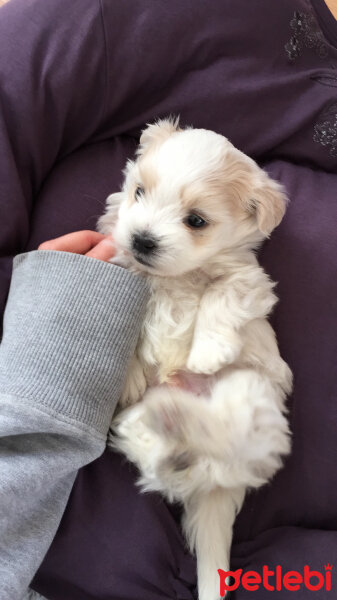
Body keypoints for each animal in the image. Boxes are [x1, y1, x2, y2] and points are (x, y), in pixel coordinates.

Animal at [98, 119, 292, 600]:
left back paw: (183, 416)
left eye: (196, 221)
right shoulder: (121, 268)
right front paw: (129, 373)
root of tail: (215, 486)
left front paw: (205, 353)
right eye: (139, 192)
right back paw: (170, 433)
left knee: (230, 438)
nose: (142, 239)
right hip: (142, 425)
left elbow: (219, 300)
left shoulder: (246, 279)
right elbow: (124, 325)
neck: (174, 276)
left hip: (250, 392)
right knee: (164, 461)